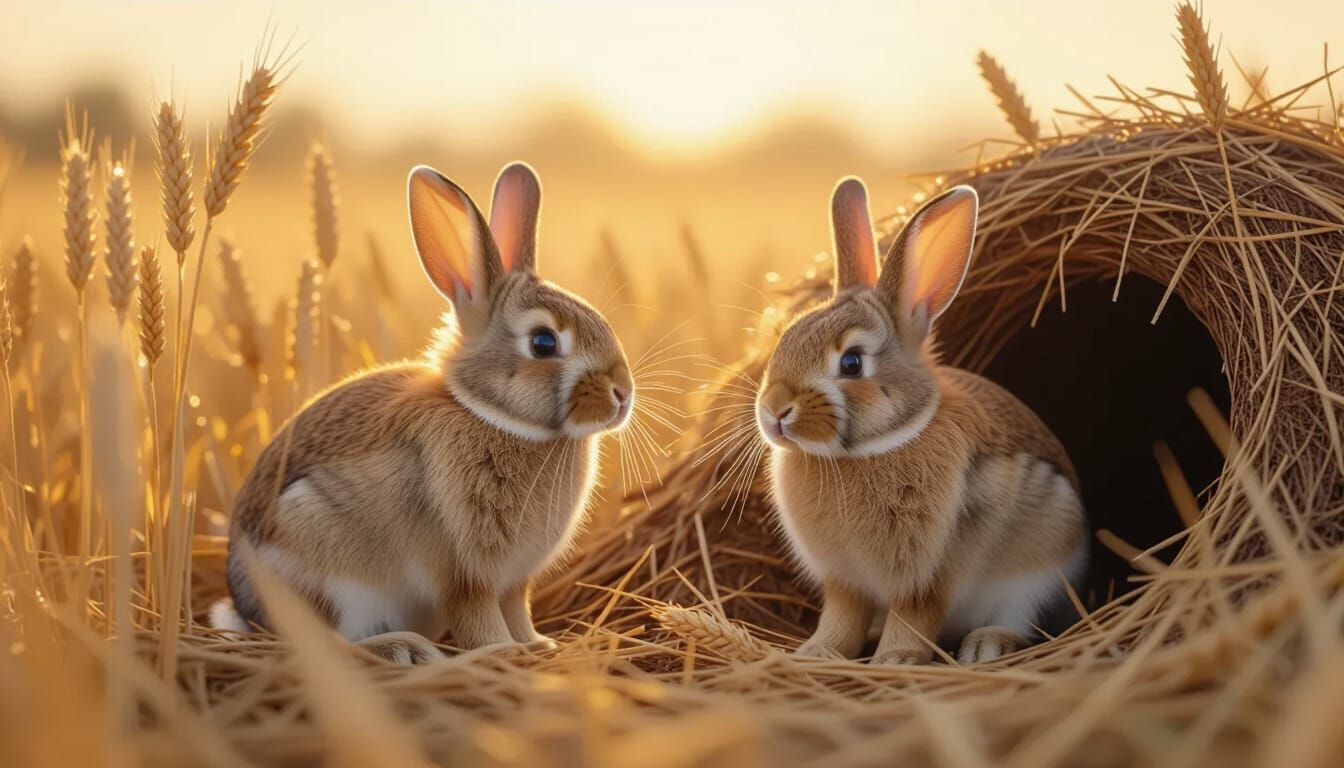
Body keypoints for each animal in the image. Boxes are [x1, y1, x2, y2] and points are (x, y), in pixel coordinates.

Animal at [211, 162, 635, 663]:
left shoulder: (516, 580)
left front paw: (536, 644)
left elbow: (518, 610)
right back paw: (403, 650)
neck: (493, 416)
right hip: (320, 565)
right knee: (326, 642)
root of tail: (248, 611)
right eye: (544, 342)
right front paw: (501, 653)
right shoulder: (464, 573)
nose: (623, 393)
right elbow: (478, 619)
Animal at [754, 177, 1087, 665]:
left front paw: (896, 659)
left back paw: (986, 646)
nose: (774, 410)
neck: (876, 447)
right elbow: (842, 617)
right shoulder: (845, 581)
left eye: (852, 362)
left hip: (1042, 562)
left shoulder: (927, 576)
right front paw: (818, 652)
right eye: (786, 338)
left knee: (1020, 617)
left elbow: (915, 617)